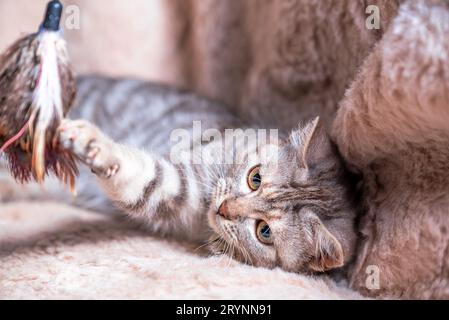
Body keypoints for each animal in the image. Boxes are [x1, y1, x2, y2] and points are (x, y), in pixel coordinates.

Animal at [4, 76, 354, 274]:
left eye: (264, 231)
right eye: (255, 178)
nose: (223, 208)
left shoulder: (170, 190)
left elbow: (143, 178)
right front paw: (95, 144)